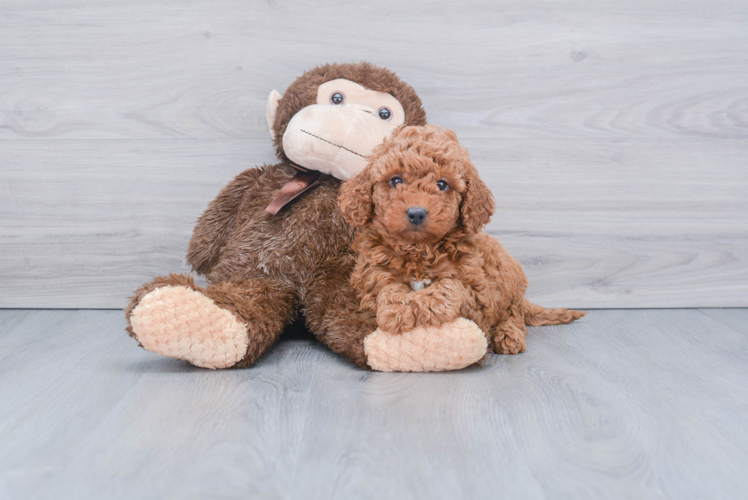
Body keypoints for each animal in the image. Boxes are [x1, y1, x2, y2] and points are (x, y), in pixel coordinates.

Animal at [338, 127, 584, 358]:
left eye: (442, 184)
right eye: (396, 180)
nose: (416, 213)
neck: (419, 249)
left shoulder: (479, 293)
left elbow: (448, 287)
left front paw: (418, 305)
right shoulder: (370, 280)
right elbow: (389, 288)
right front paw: (397, 310)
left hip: (507, 276)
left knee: (513, 314)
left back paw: (508, 335)